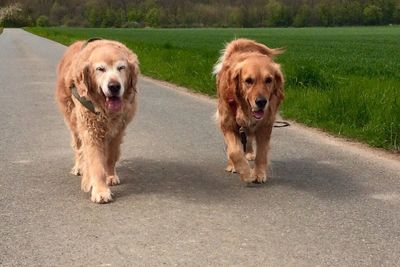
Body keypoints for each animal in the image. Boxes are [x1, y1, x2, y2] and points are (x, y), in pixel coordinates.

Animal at [55, 38, 138, 204]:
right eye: (100, 69)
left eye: (121, 67)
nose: (114, 86)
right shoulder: (90, 129)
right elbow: (95, 163)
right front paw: (100, 191)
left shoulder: (117, 130)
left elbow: (111, 157)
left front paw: (110, 176)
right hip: (74, 122)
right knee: (79, 148)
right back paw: (79, 167)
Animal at [214, 37, 282, 184]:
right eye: (248, 80)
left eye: (269, 80)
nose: (261, 102)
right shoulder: (227, 123)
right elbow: (234, 151)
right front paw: (244, 172)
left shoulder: (265, 125)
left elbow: (262, 153)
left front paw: (259, 173)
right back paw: (233, 165)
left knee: (249, 138)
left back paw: (249, 153)